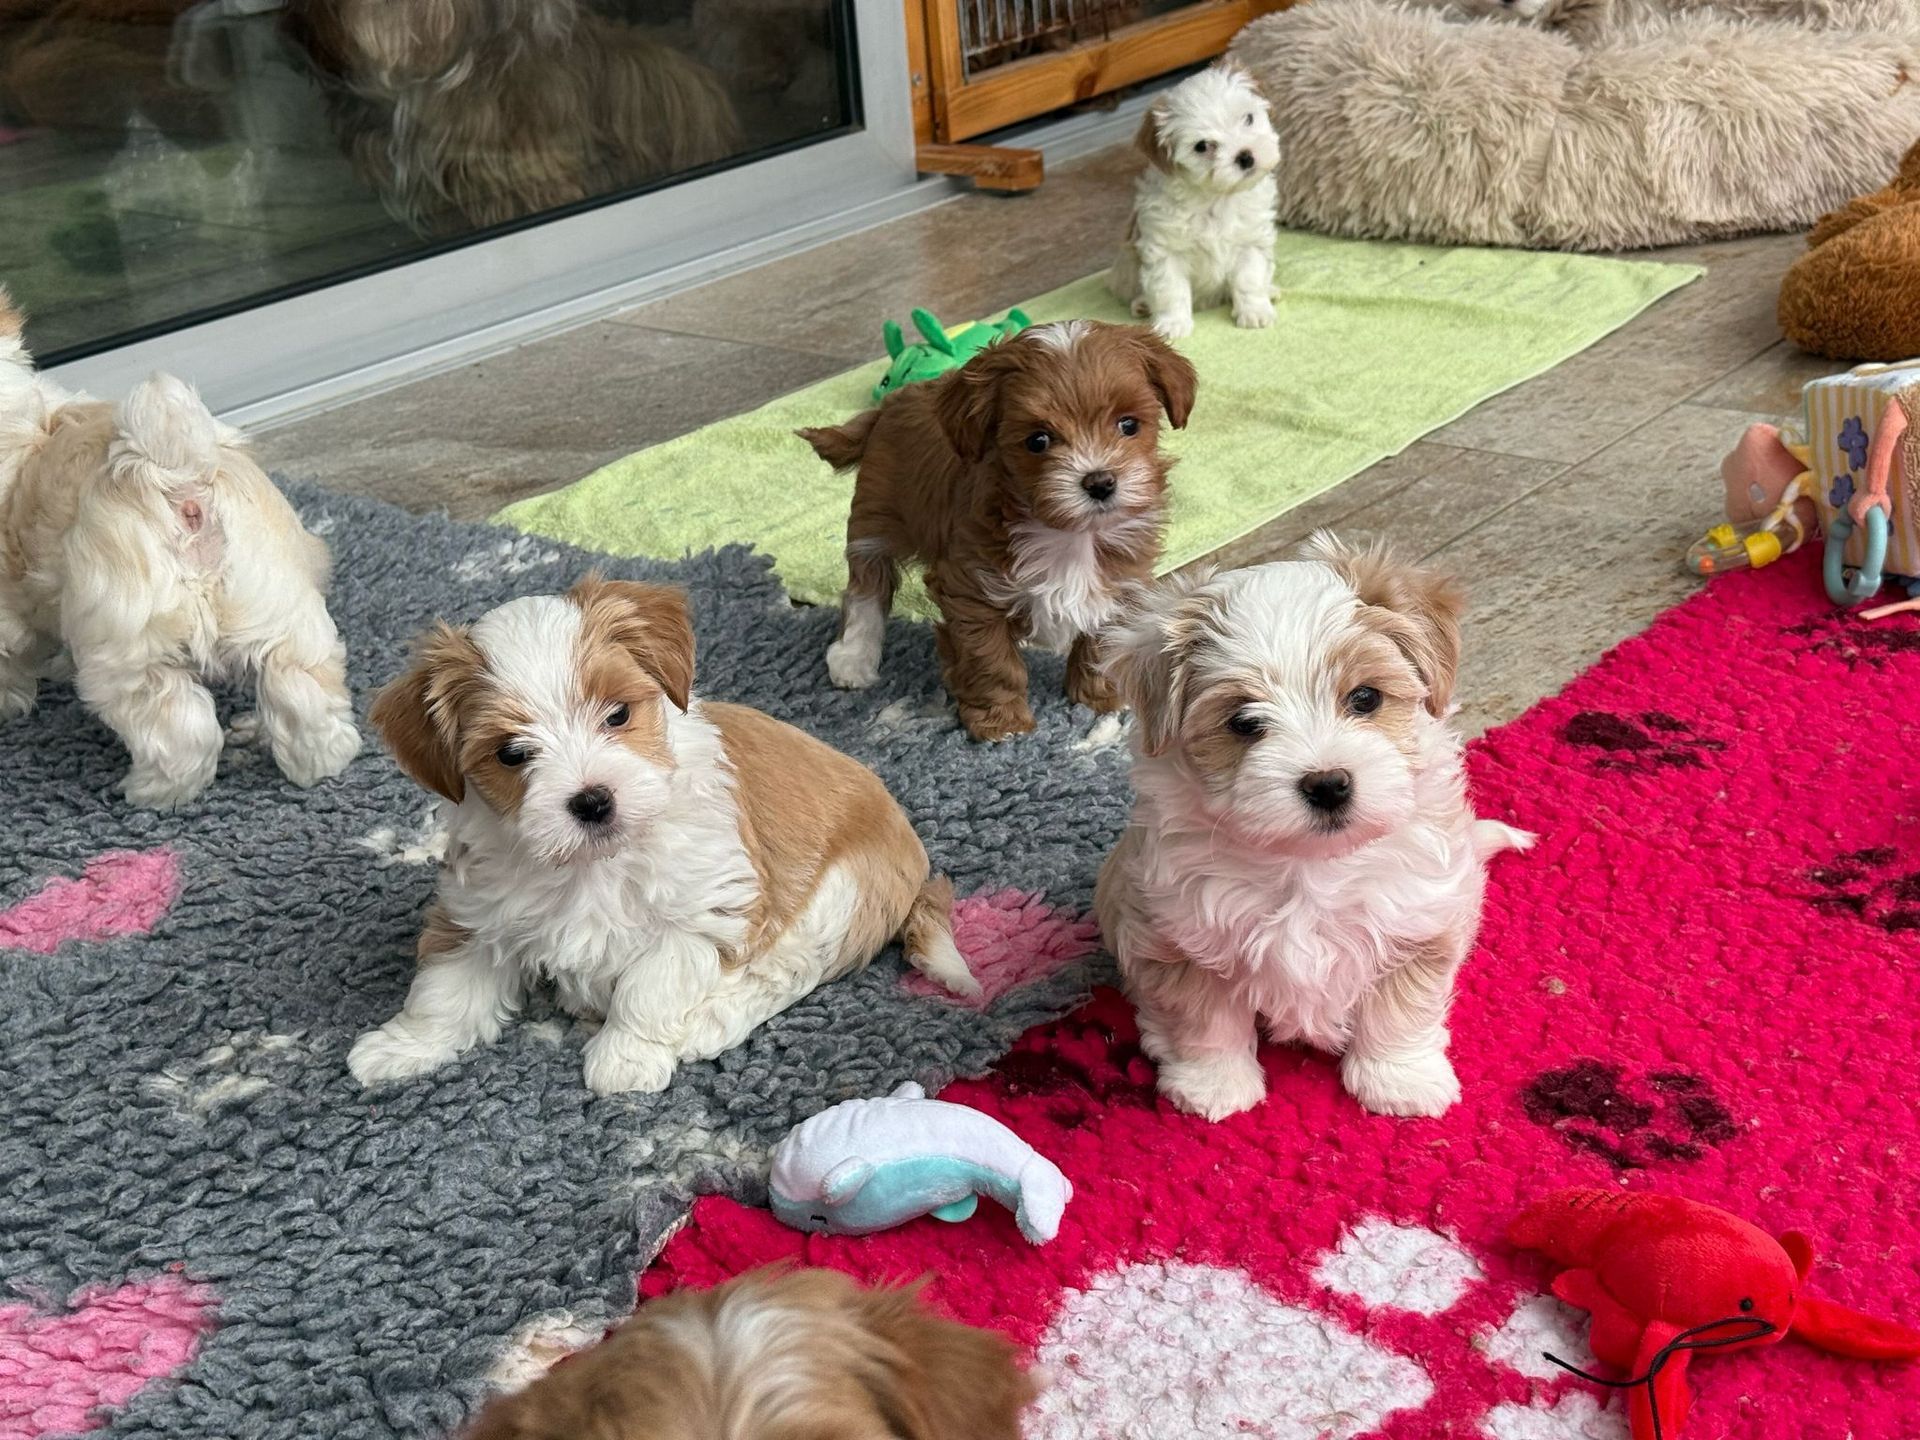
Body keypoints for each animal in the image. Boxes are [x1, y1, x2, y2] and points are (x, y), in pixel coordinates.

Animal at [0, 292, 359, 809]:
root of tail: (175, 474)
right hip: (278, 607)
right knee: (302, 690)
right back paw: (321, 763)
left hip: (134, 648)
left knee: (179, 730)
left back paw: (153, 794)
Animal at [349, 574, 980, 1096]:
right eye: (510, 753)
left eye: (618, 715)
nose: (593, 800)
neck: (593, 863)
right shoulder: (478, 911)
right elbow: (445, 989)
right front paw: (402, 1047)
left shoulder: (702, 912)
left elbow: (648, 986)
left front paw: (624, 1059)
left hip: (843, 893)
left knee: (790, 969)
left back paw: (710, 1021)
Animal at [800, 320, 1196, 743]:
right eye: (1038, 440)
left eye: (1128, 425)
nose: (1100, 482)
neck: (1069, 535)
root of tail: (887, 405)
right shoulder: (970, 591)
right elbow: (991, 660)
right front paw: (1002, 724)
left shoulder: (1119, 584)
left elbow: (1099, 644)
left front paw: (1098, 698)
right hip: (876, 516)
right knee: (866, 586)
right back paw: (854, 655)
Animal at [1094, 535, 1531, 1122]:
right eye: (1244, 722)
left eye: (1365, 697)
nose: (1327, 784)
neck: (1308, 864)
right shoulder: (1178, 933)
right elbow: (1205, 1019)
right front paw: (1216, 1086)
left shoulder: (1420, 919)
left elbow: (1401, 1011)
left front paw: (1399, 1080)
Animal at [1108, 64, 1282, 341]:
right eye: (1202, 146)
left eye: (1248, 119)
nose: (1245, 156)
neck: (1216, 196)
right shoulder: (1165, 250)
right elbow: (1170, 289)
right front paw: (1172, 324)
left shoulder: (1251, 241)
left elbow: (1249, 278)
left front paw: (1255, 311)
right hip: (1124, 270)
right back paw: (1142, 304)